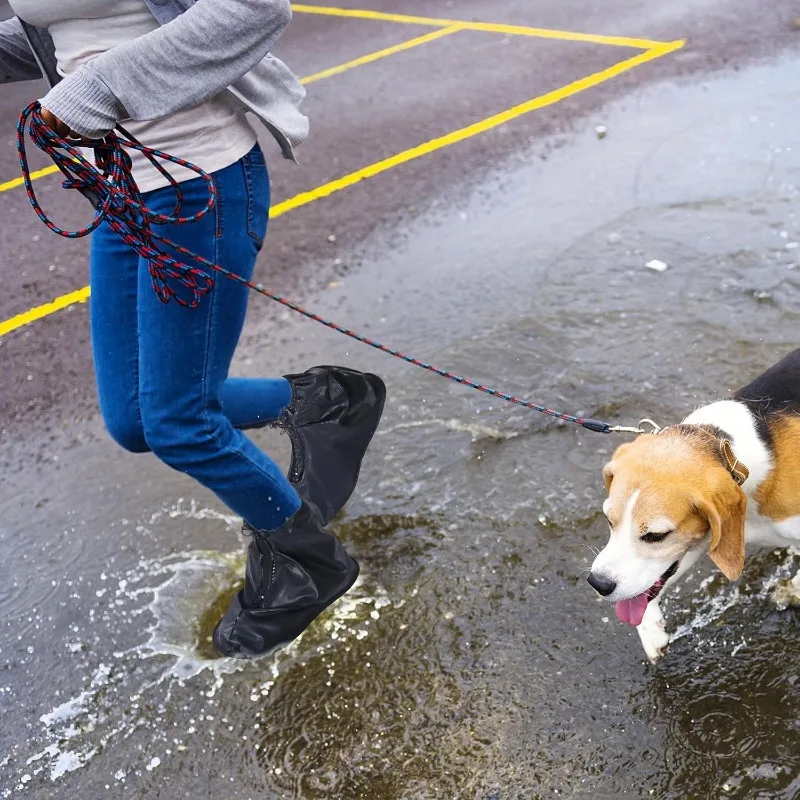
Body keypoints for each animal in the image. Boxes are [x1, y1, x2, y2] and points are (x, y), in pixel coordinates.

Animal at [588, 350, 800, 664]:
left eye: (656, 535)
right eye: (608, 520)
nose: (598, 583)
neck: (728, 449)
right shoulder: (711, 536)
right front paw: (651, 630)